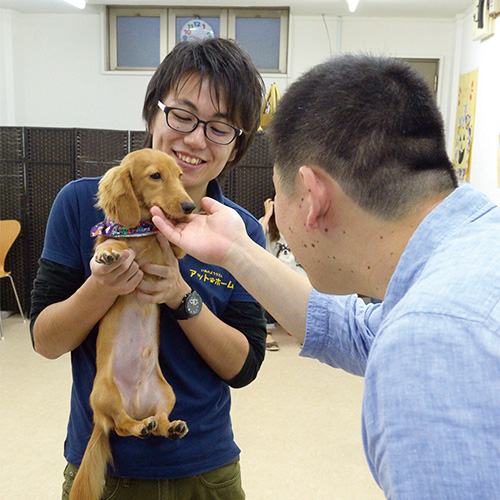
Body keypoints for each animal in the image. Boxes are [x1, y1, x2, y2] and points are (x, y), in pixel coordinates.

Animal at [69, 148, 194, 500]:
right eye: (155, 176)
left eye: (180, 176)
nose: (190, 207)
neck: (139, 229)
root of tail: (136, 405)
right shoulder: (116, 243)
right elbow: (113, 246)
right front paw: (111, 251)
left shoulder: (170, 252)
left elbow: (174, 244)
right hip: (106, 395)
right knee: (122, 426)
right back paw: (140, 426)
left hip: (166, 394)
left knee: (159, 420)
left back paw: (169, 426)